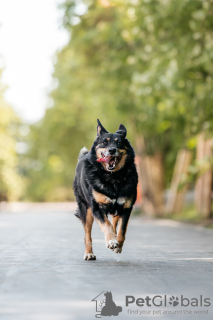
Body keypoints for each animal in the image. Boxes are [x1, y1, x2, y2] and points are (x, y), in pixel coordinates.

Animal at [73, 120, 138, 260]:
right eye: (104, 142)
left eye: (119, 142)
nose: (112, 150)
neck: (113, 178)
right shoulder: (97, 207)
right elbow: (106, 225)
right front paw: (111, 241)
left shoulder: (126, 207)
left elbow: (122, 230)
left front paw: (117, 244)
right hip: (86, 210)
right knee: (87, 234)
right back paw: (89, 253)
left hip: (115, 209)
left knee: (114, 223)